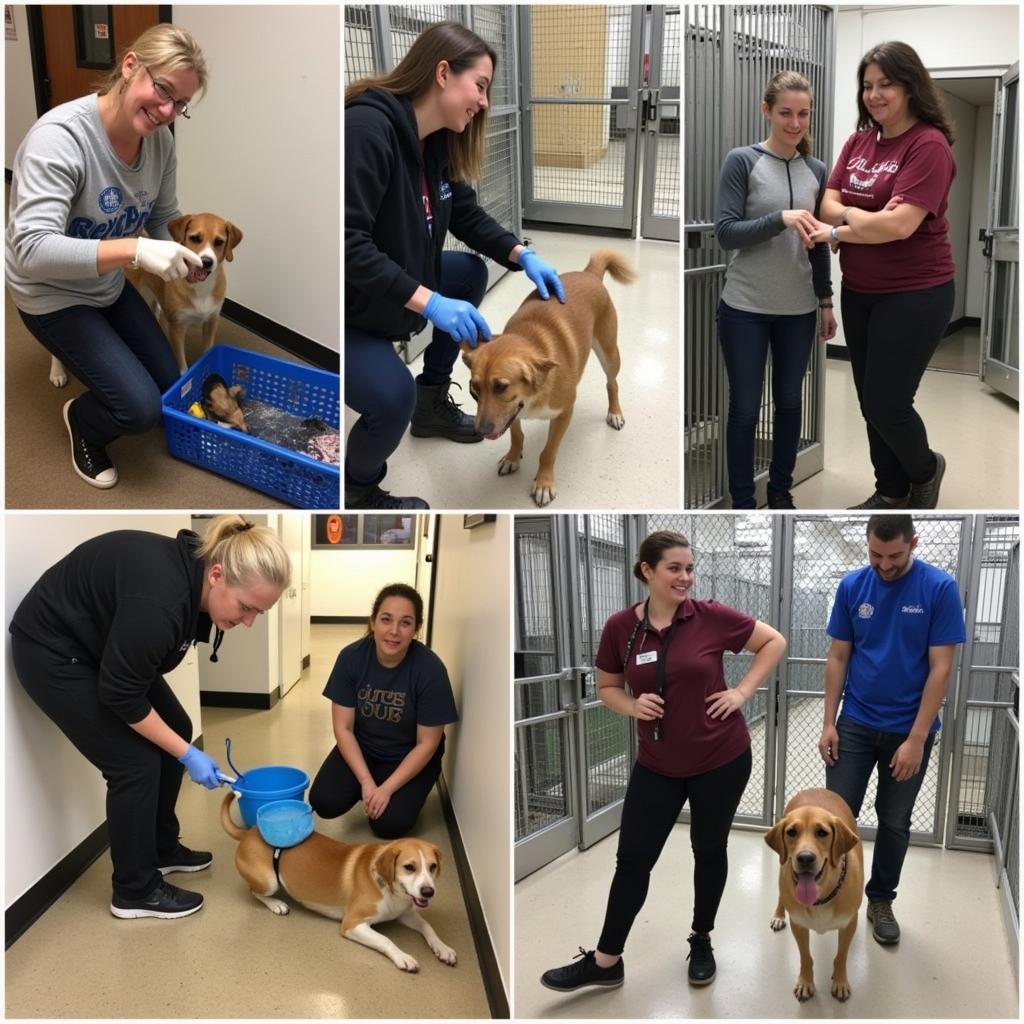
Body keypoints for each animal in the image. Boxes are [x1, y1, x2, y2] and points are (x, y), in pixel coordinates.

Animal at [48, 209, 243, 385]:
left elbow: (208, 351)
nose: (206, 261)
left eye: (219, 242)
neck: (200, 288)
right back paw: (57, 372)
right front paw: (184, 378)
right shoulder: (177, 327)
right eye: (195, 238)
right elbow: (182, 365)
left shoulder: (211, 321)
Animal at [222, 794, 458, 970]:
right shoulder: (352, 924)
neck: (390, 890)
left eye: (432, 867)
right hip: (269, 881)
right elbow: (385, 940)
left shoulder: (405, 913)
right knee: (254, 891)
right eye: (409, 867)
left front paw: (443, 948)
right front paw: (403, 956)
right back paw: (276, 904)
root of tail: (249, 832)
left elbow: (428, 926)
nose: (428, 892)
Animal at [462, 251, 634, 507]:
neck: (533, 396)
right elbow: (516, 435)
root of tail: (588, 273)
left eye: (501, 387)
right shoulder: (512, 414)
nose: (481, 431)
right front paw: (513, 457)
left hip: (609, 354)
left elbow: (548, 452)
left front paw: (543, 482)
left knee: (612, 383)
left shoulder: (563, 414)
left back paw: (614, 412)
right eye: (474, 389)